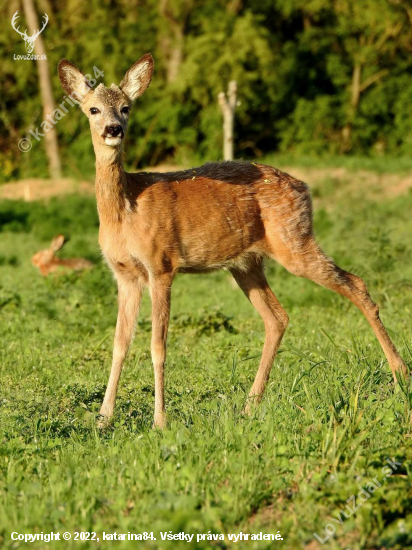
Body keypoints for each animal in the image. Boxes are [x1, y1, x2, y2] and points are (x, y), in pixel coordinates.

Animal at [58, 54, 408, 430]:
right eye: (93, 109)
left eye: (126, 107)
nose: (113, 129)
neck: (126, 211)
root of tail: (305, 187)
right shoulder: (124, 274)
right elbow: (119, 344)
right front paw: (103, 419)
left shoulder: (161, 264)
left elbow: (157, 346)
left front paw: (160, 421)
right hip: (246, 263)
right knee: (278, 317)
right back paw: (250, 405)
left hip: (294, 239)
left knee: (355, 284)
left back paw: (400, 374)